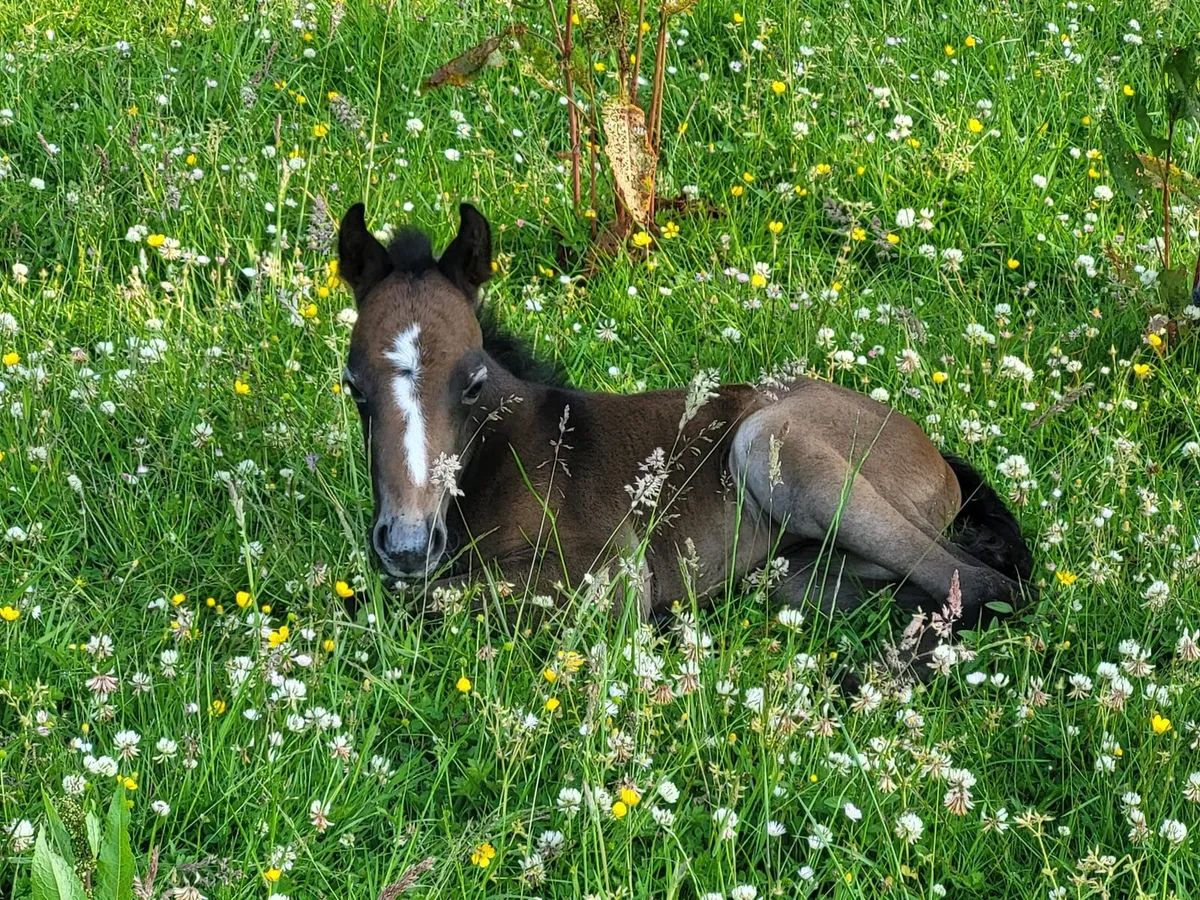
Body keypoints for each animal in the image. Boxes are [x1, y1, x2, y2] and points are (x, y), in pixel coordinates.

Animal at [337, 201, 1034, 675]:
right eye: (354, 387)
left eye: (473, 384)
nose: (407, 544)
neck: (507, 452)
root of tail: (939, 456)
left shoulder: (612, 576)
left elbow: (419, 600)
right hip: (794, 573)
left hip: (770, 443)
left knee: (983, 584)